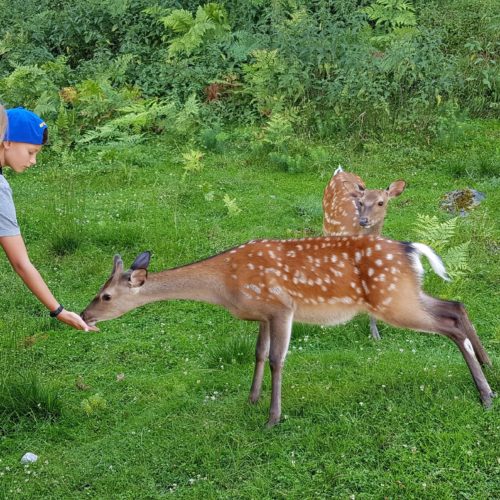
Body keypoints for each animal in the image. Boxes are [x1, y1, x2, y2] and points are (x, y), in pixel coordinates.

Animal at [81, 233, 492, 426]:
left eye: (105, 296)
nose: (84, 314)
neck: (225, 286)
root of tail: (411, 249)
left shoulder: (280, 306)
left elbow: (278, 359)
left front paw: (272, 417)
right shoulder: (263, 315)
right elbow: (259, 353)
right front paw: (252, 399)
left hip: (393, 301)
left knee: (449, 325)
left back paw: (485, 393)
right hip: (403, 294)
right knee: (455, 306)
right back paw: (488, 364)